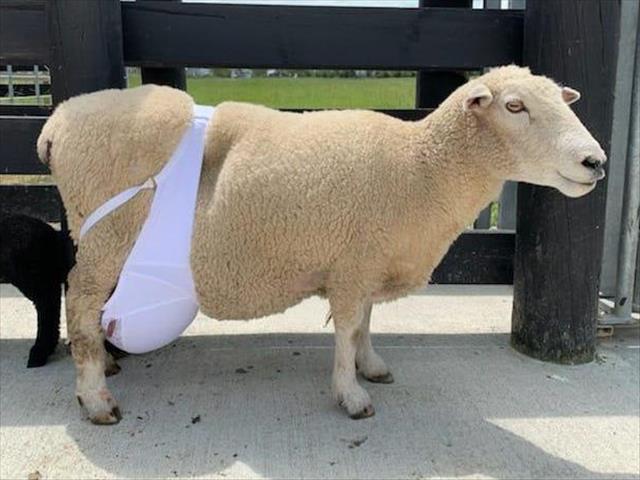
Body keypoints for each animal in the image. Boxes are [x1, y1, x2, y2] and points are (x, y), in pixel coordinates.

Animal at [37, 65, 606, 424]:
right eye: (514, 106)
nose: (596, 162)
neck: (420, 168)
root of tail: (58, 119)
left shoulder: (368, 260)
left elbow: (368, 325)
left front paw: (371, 366)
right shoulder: (353, 265)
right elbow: (348, 331)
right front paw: (351, 395)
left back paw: (105, 365)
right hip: (106, 234)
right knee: (80, 303)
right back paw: (96, 397)